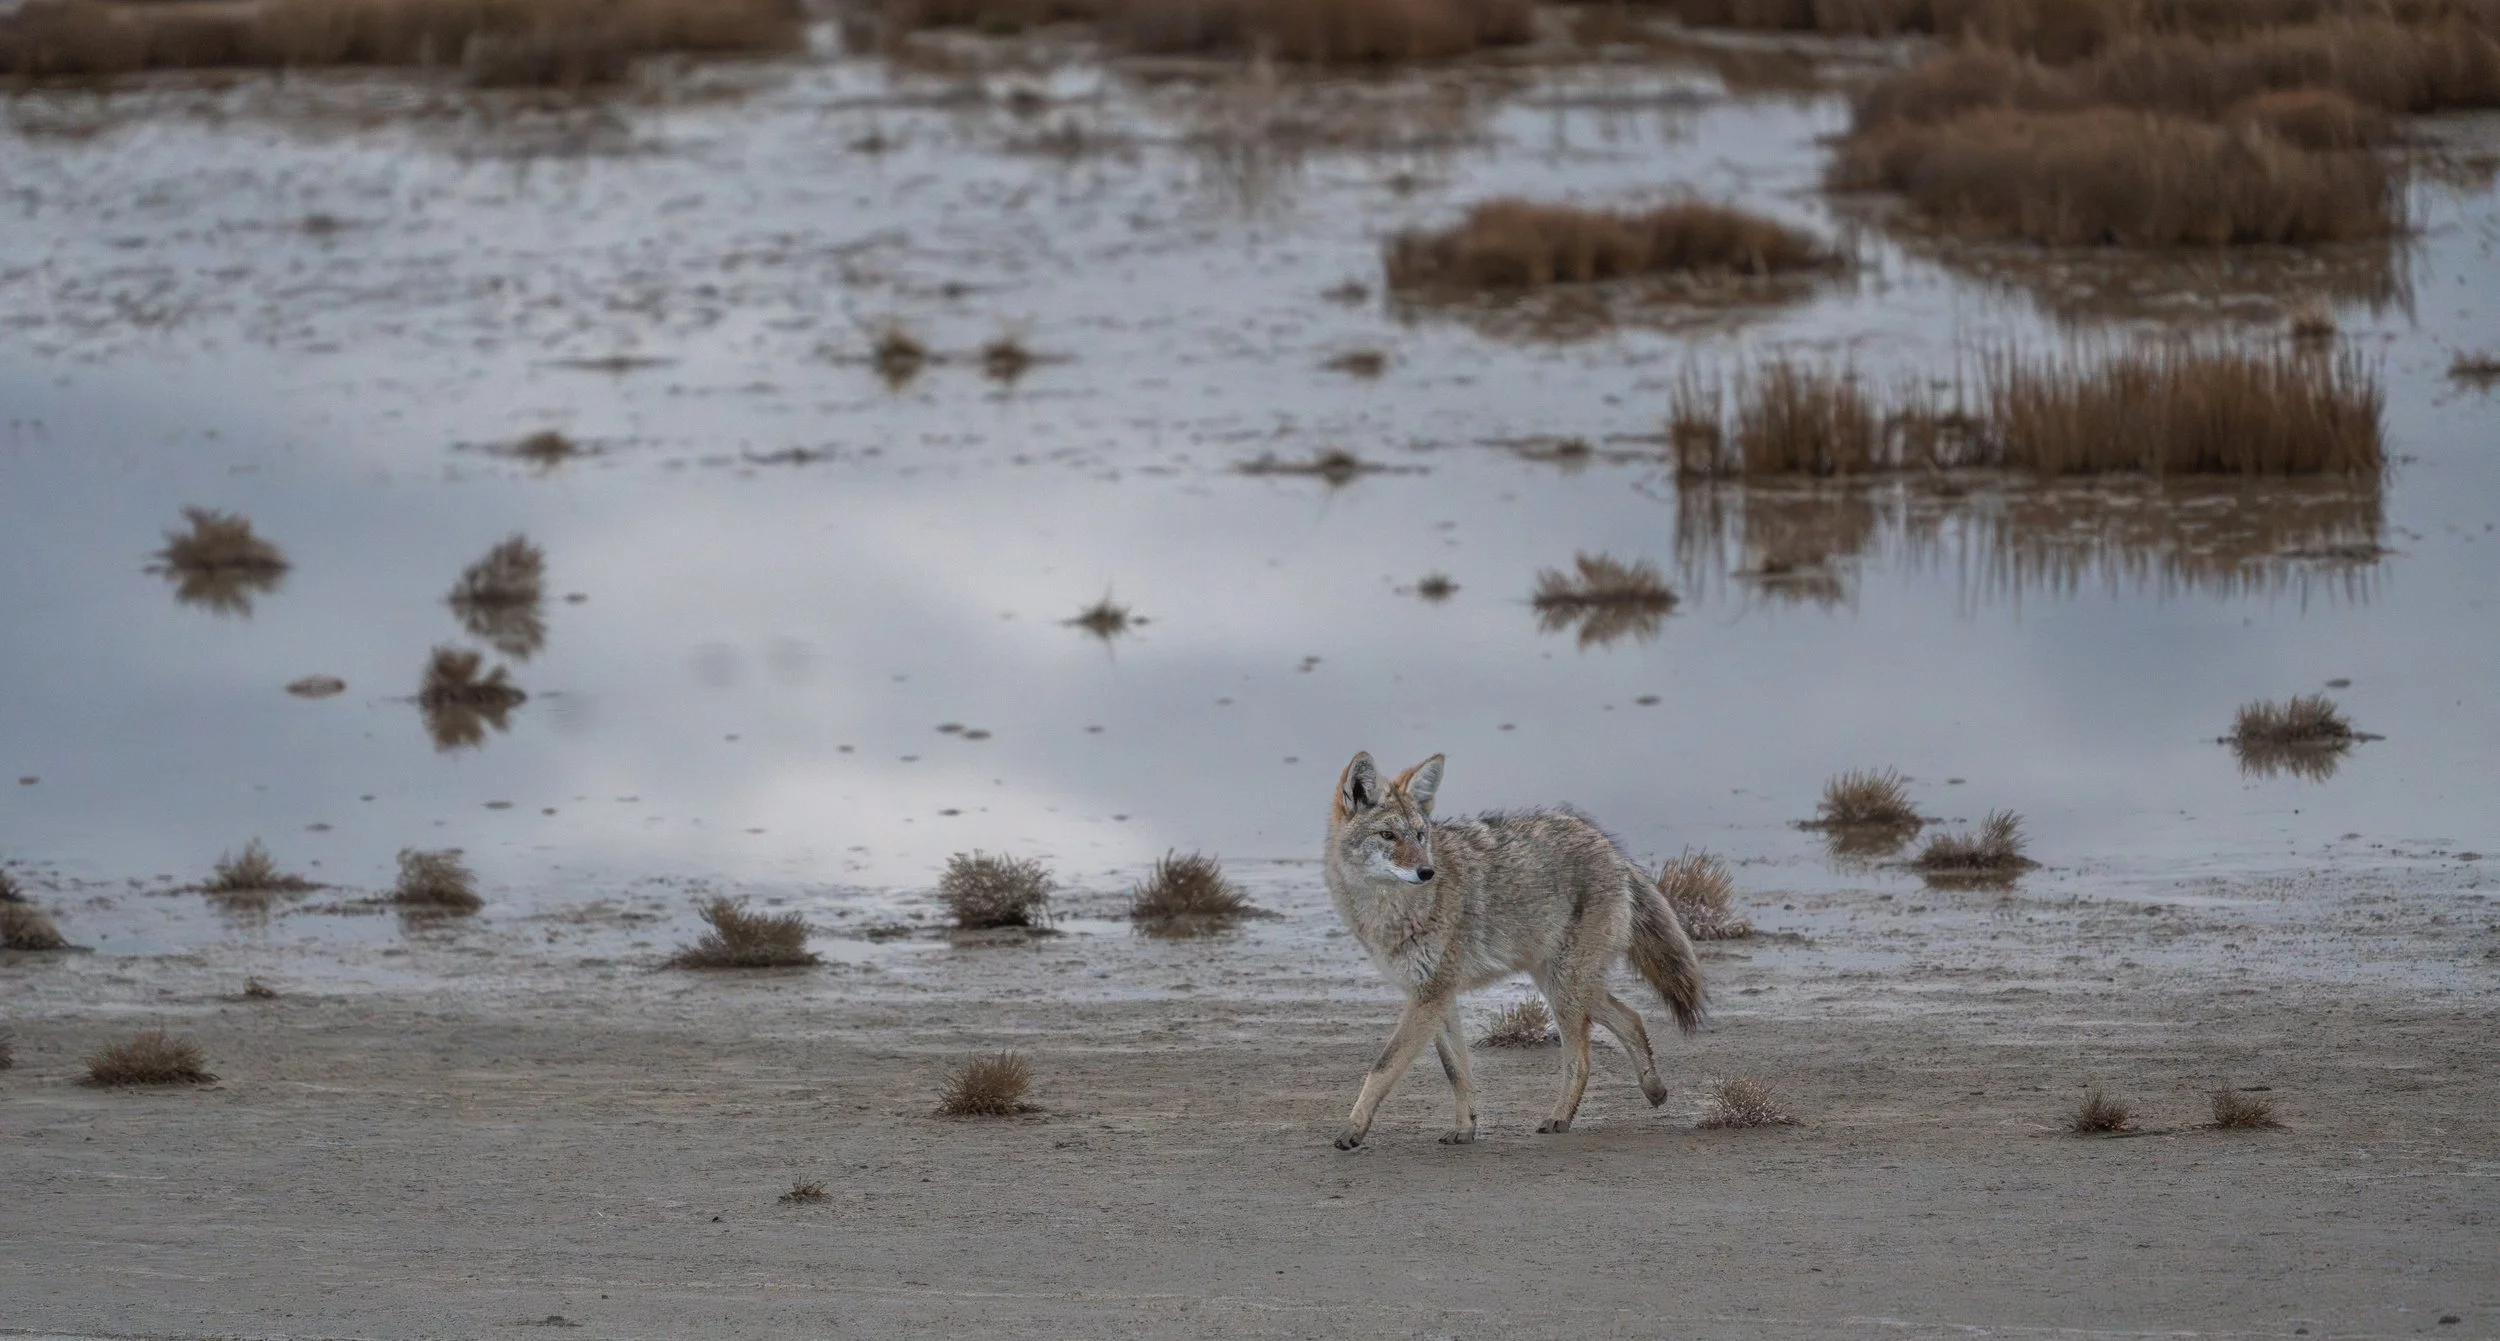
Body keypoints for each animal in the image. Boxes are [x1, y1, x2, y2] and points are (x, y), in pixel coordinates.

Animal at [1324, 751, 1705, 1149]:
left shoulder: (1430, 996)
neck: (1394, 910)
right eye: (1388, 835)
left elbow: (1383, 1066)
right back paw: (1654, 1090)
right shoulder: (1435, 995)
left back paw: (1559, 1118)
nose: (1427, 872)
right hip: (1565, 985)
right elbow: (1456, 1069)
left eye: (1419, 835)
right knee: (1631, 1016)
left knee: (1583, 1059)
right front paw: (1465, 1128)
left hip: (1565, 990)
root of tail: (1613, 851)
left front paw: (1352, 1130)